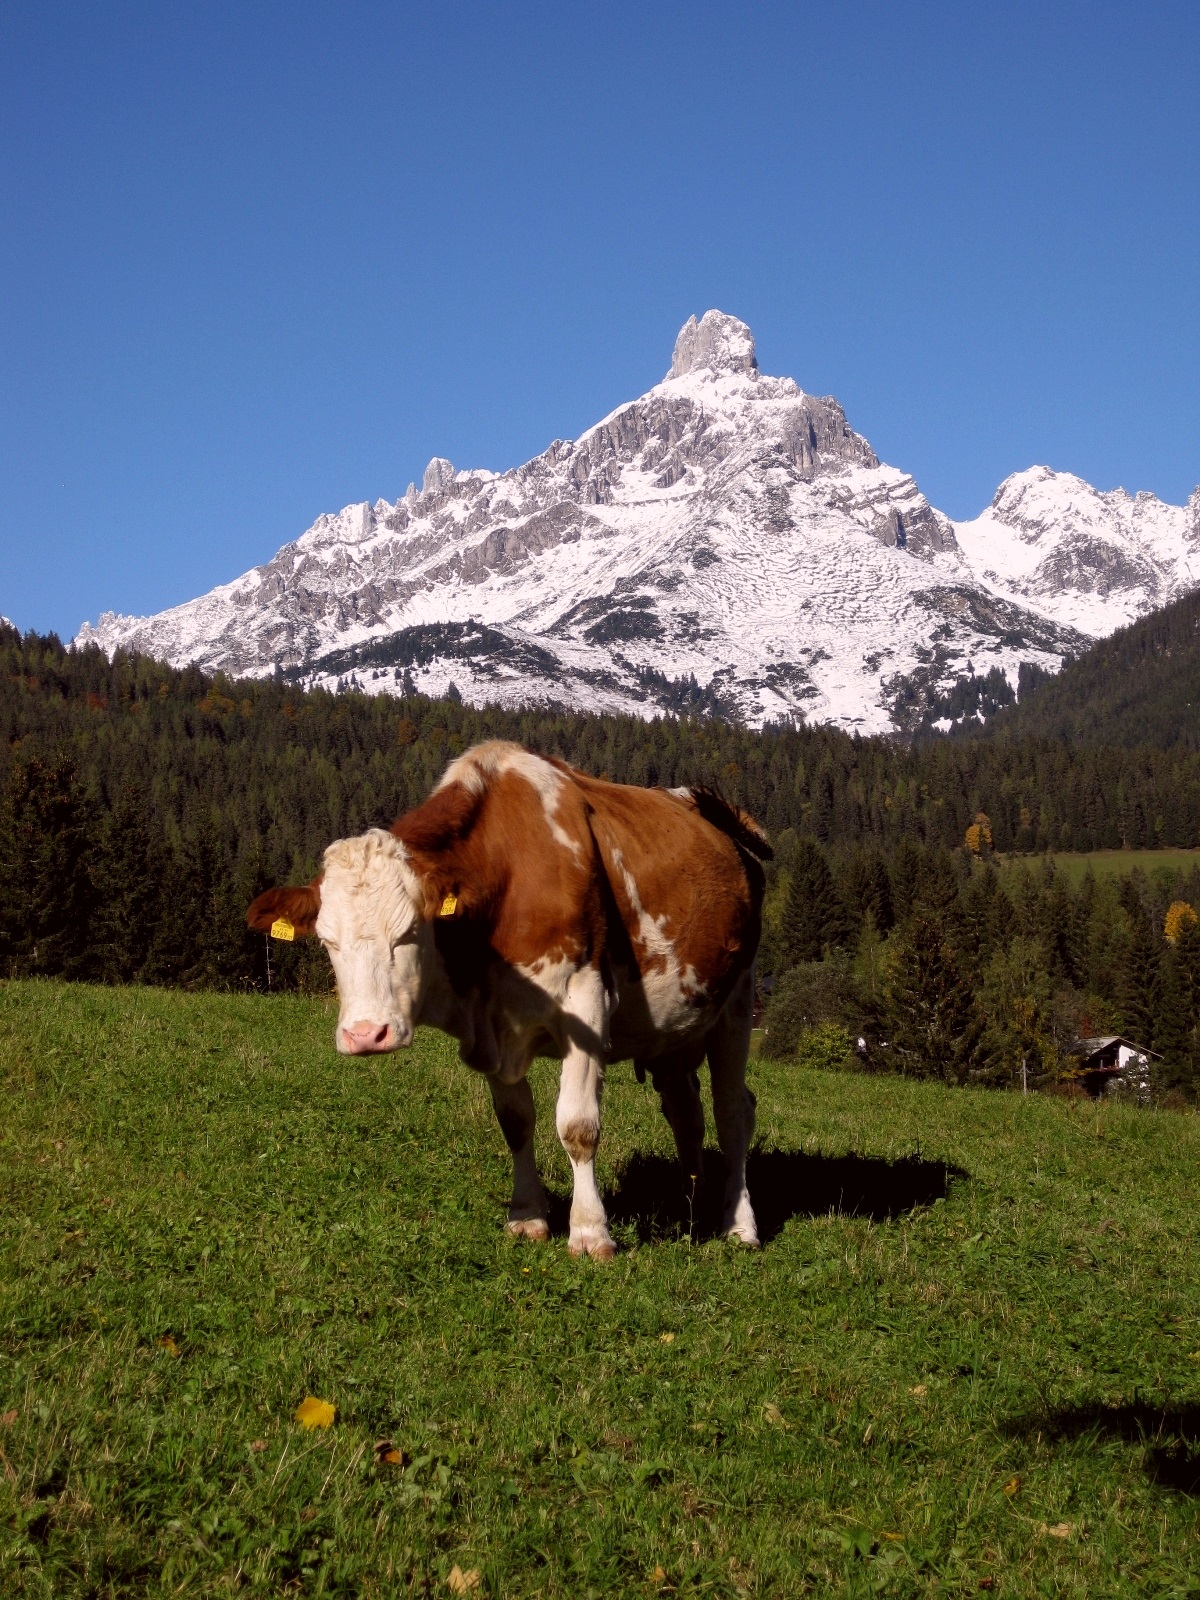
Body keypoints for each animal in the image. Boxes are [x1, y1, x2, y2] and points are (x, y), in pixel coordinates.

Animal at [246, 741, 771, 1258]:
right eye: (326, 941)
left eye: (410, 931)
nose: (365, 1034)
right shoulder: (494, 1025)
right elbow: (516, 1122)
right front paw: (527, 1217)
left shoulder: (586, 1001)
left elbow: (578, 1125)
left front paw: (589, 1232)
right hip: (674, 1027)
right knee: (686, 1109)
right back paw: (692, 1205)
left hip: (737, 1003)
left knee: (733, 1110)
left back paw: (739, 1224)